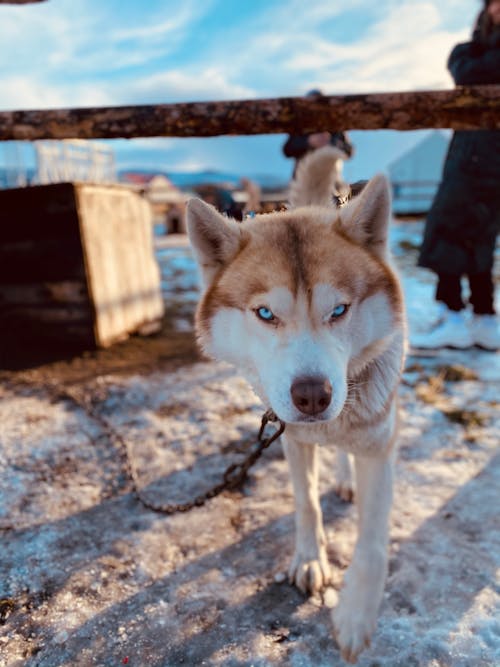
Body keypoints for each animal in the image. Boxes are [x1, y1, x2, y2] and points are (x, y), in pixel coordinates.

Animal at [187, 146, 406, 664]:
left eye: (339, 310)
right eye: (266, 313)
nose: (311, 395)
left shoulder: (381, 442)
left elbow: (372, 543)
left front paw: (355, 616)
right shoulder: (292, 438)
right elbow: (306, 503)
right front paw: (310, 560)